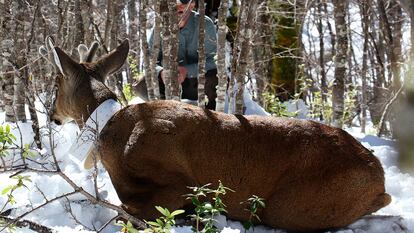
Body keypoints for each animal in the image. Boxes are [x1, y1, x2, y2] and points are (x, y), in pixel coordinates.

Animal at [45, 38, 392, 231]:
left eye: (56, 84)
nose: (51, 115)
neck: (109, 130)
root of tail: (379, 176)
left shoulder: (180, 186)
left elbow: (124, 213)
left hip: (287, 206)